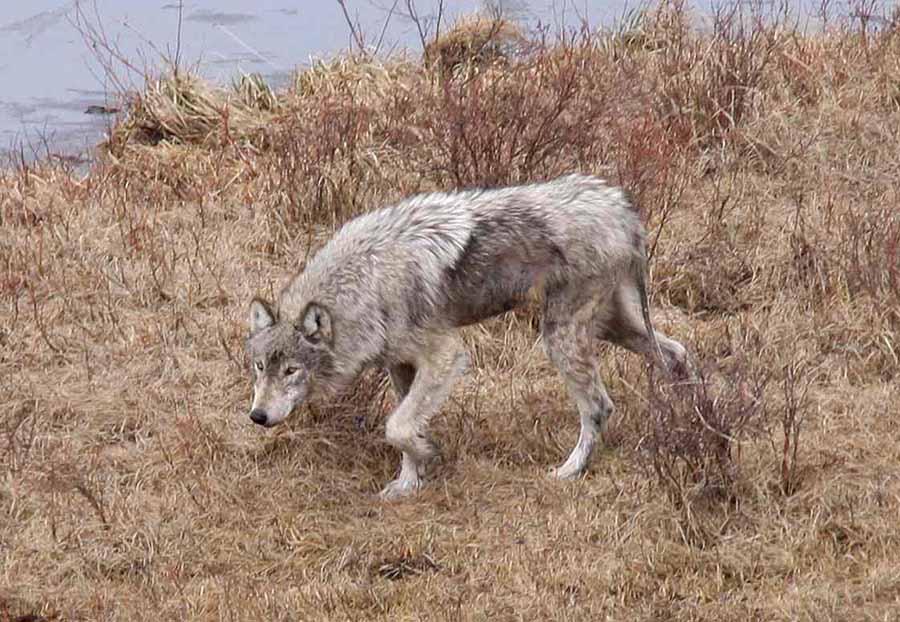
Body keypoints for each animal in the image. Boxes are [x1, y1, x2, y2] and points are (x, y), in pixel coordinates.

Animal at [243, 172, 684, 502]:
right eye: (260, 367)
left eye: (291, 371)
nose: (257, 417)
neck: (368, 279)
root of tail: (618, 203)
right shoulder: (399, 364)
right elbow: (404, 423)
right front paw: (409, 482)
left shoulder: (445, 356)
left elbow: (396, 426)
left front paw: (427, 455)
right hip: (612, 326)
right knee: (677, 353)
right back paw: (686, 414)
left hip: (561, 336)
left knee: (599, 406)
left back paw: (570, 470)